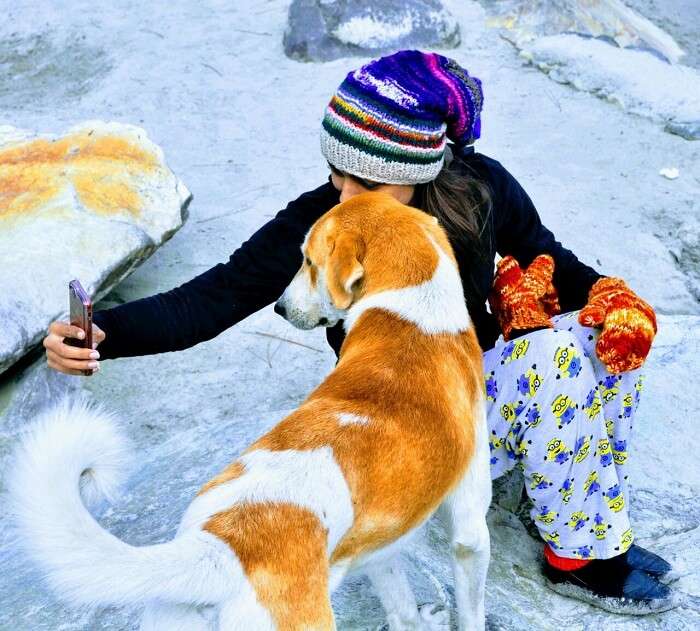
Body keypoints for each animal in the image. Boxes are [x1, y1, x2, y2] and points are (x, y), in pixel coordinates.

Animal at [9, 193, 492, 631]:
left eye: (309, 262)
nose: (279, 307)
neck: (411, 311)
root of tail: (225, 546)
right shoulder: (470, 530)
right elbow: (472, 610)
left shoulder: (375, 547)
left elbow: (401, 608)